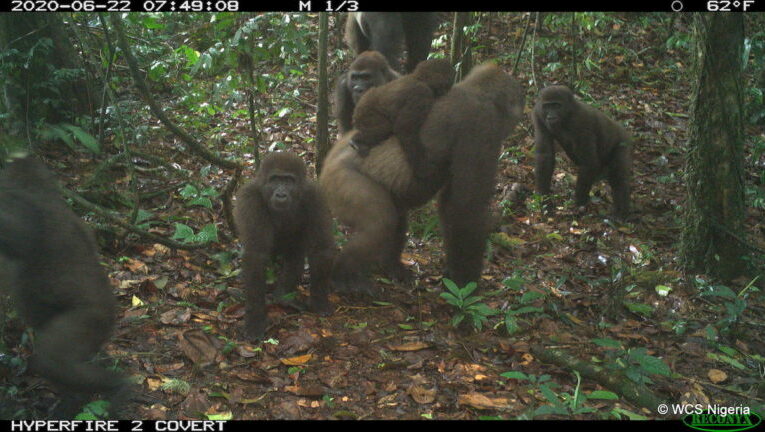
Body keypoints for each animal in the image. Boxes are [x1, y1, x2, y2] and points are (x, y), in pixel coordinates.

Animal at [234, 153, 332, 340]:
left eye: (288, 181)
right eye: (275, 179)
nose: (280, 194)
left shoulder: (315, 197)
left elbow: (320, 248)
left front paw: (319, 300)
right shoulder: (251, 199)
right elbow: (256, 256)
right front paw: (255, 318)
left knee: (296, 253)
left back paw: (283, 296)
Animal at [318, 63, 524, 294]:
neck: (476, 90)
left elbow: (450, 206)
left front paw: (453, 275)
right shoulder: (483, 126)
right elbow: (465, 210)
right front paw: (465, 286)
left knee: (396, 215)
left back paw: (391, 266)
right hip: (338, 179)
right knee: (378, 223)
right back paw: (343, 277)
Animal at [532, 85, 632, 219]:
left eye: (556, 106)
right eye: (547, 106)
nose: (551, 116)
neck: (568, 113)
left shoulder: (582, 120)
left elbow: (589, 162)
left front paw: (579, 203)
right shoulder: (538, 114)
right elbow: (545, 156)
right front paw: (545, 200)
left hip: (623, 141)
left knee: (618, 176)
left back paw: (621, 213)